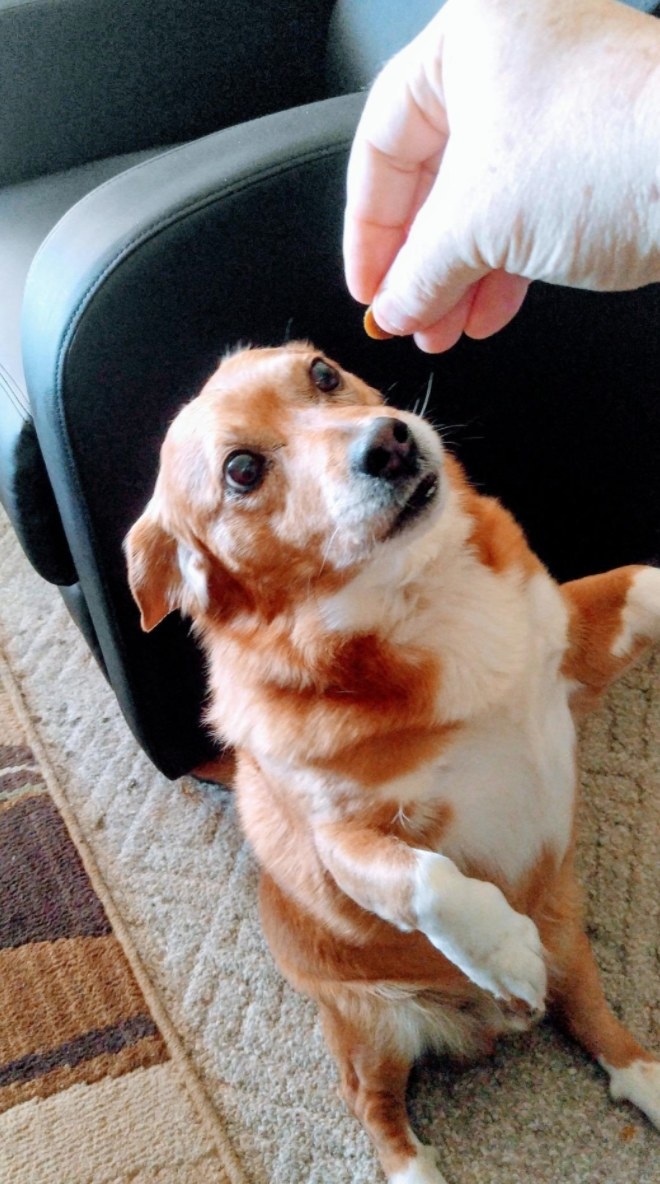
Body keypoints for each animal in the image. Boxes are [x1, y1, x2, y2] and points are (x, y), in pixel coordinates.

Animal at [125, 343, 658, 1184]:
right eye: (242, 470)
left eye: (321, 374)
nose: (392, 442)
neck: (415, 593)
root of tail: (488, 1026)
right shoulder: (344, 843)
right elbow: (431, 881)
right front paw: (501, 948)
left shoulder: (571, 653)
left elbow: (647, 583)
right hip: (372, 1026)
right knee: (373, 1107)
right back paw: (420, 1162)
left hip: (571, 943)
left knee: (598, 1027)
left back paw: (648, 1077)